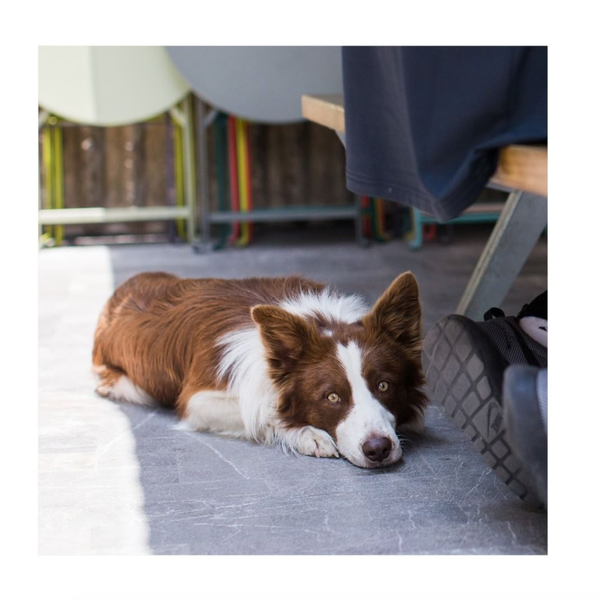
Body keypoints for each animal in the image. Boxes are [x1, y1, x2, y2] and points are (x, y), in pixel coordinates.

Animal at [91, 272, 426, 468]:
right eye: (331, 397)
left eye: (384, 385)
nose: (378, 449)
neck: (319, 320)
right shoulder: (196, 400)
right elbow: (261, 411)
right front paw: (306, 434)